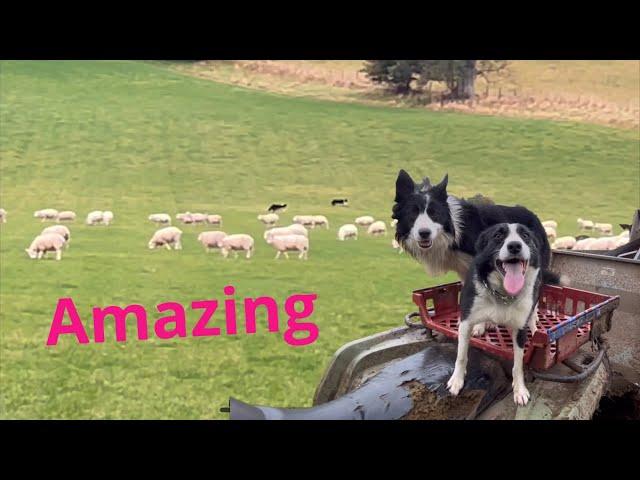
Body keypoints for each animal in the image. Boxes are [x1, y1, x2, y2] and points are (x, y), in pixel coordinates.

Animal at [390, 171, 560, 286]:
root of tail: (534, 216)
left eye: (435, 214)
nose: (424, 233)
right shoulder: (463, 270)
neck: (454, 232)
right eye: (412, 214)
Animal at [450, 223, 556, 406]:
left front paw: (519, 389)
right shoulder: (465, 322)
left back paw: (535, 328)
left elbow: (518, 365)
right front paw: (457, 380)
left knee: (533, 314)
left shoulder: (520, 330)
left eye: (525, 236)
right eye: (498, 236)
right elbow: (461, 355)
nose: (515, 246)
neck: (503, 294)